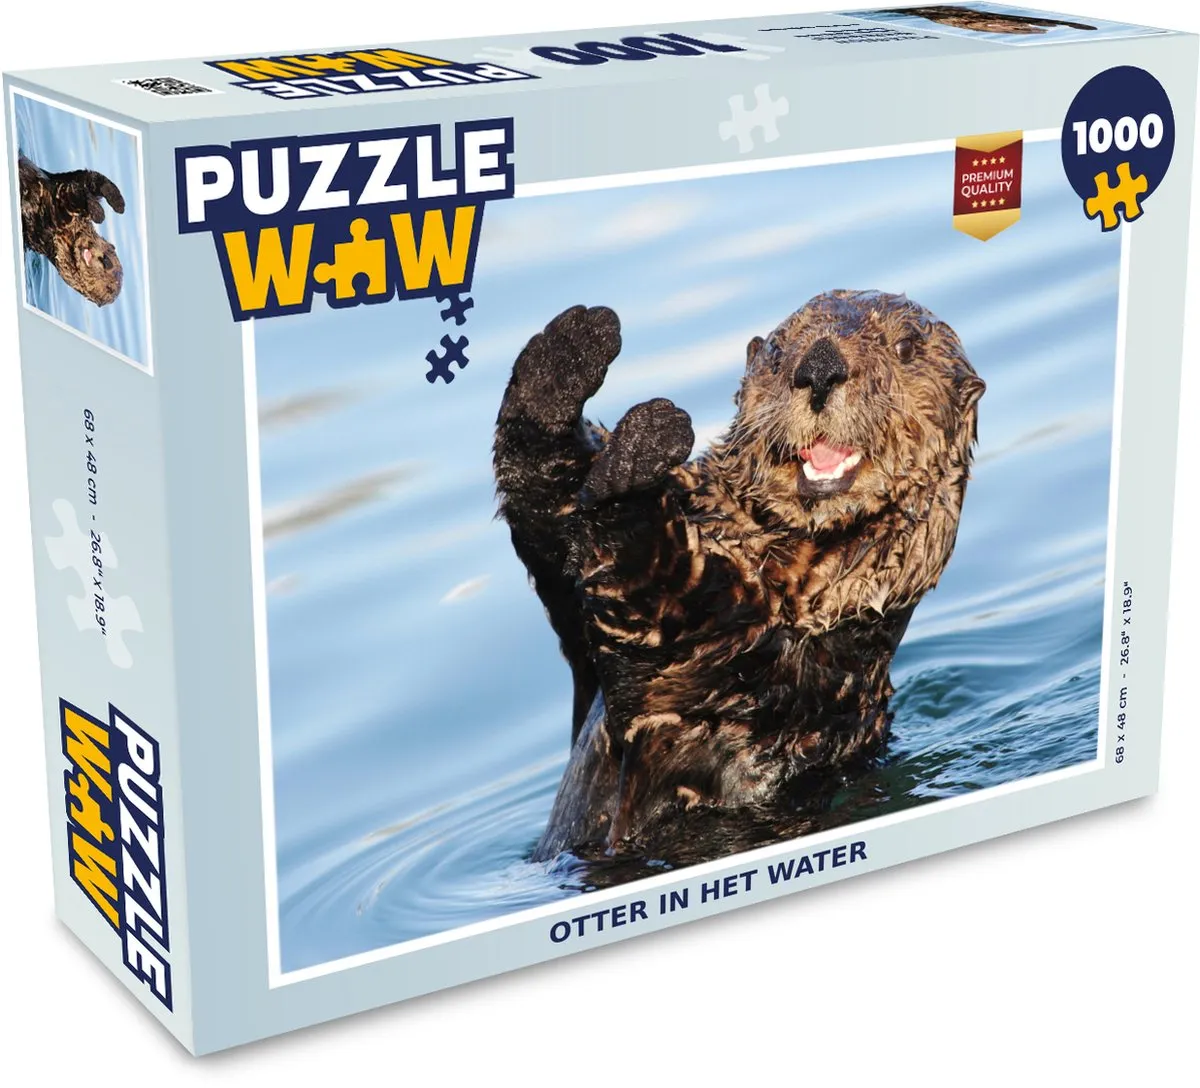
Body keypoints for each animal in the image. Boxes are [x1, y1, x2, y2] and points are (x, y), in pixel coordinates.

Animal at [19, 155, 125, 306]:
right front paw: (115, 205)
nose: (105, 261)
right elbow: (89, 180)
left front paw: (97, 210)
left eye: (108, 288)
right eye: (109, 254)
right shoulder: (66, 186)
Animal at [494, 291, 983, 863]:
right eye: (776, 352)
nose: (819, 366)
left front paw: (639, 456)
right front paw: (570, 351)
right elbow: (547, 517)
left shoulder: (731, 658)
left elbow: (651, 587)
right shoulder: (579, 635)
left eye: (905, 348)